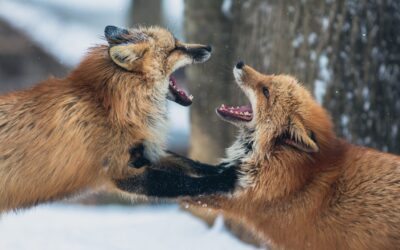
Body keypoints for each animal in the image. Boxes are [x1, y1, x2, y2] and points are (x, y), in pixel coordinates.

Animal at [0, 24, 216, 213]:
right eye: (174, 48)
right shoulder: (121, 171)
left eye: (178, 42)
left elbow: (190, 164)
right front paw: (221, 182)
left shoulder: (146, 152)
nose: (209, 47)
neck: (110, 108)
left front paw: (220, 169)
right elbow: (185, 183)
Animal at [122, 61, 400, 249]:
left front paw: (136, 181)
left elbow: (179, 187)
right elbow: (193, 165)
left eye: (265, 91)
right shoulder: (231, 173)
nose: (240, 63)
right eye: (270, 77)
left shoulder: (239, 200)